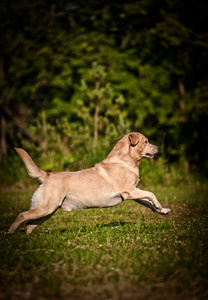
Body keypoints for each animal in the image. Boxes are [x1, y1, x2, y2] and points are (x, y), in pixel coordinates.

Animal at [4, 132, 171, 236]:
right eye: (146, 141)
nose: (158, 147)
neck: (125, 160)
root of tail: (48, 175)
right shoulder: (130, 192)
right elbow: (151, 194)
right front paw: (159, 205)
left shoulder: (135, 192)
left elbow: (148, 202)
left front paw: (162, 210)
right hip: (45, 208)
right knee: (22, 215)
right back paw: (9, 231)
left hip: (48, 211)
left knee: (29, 225)